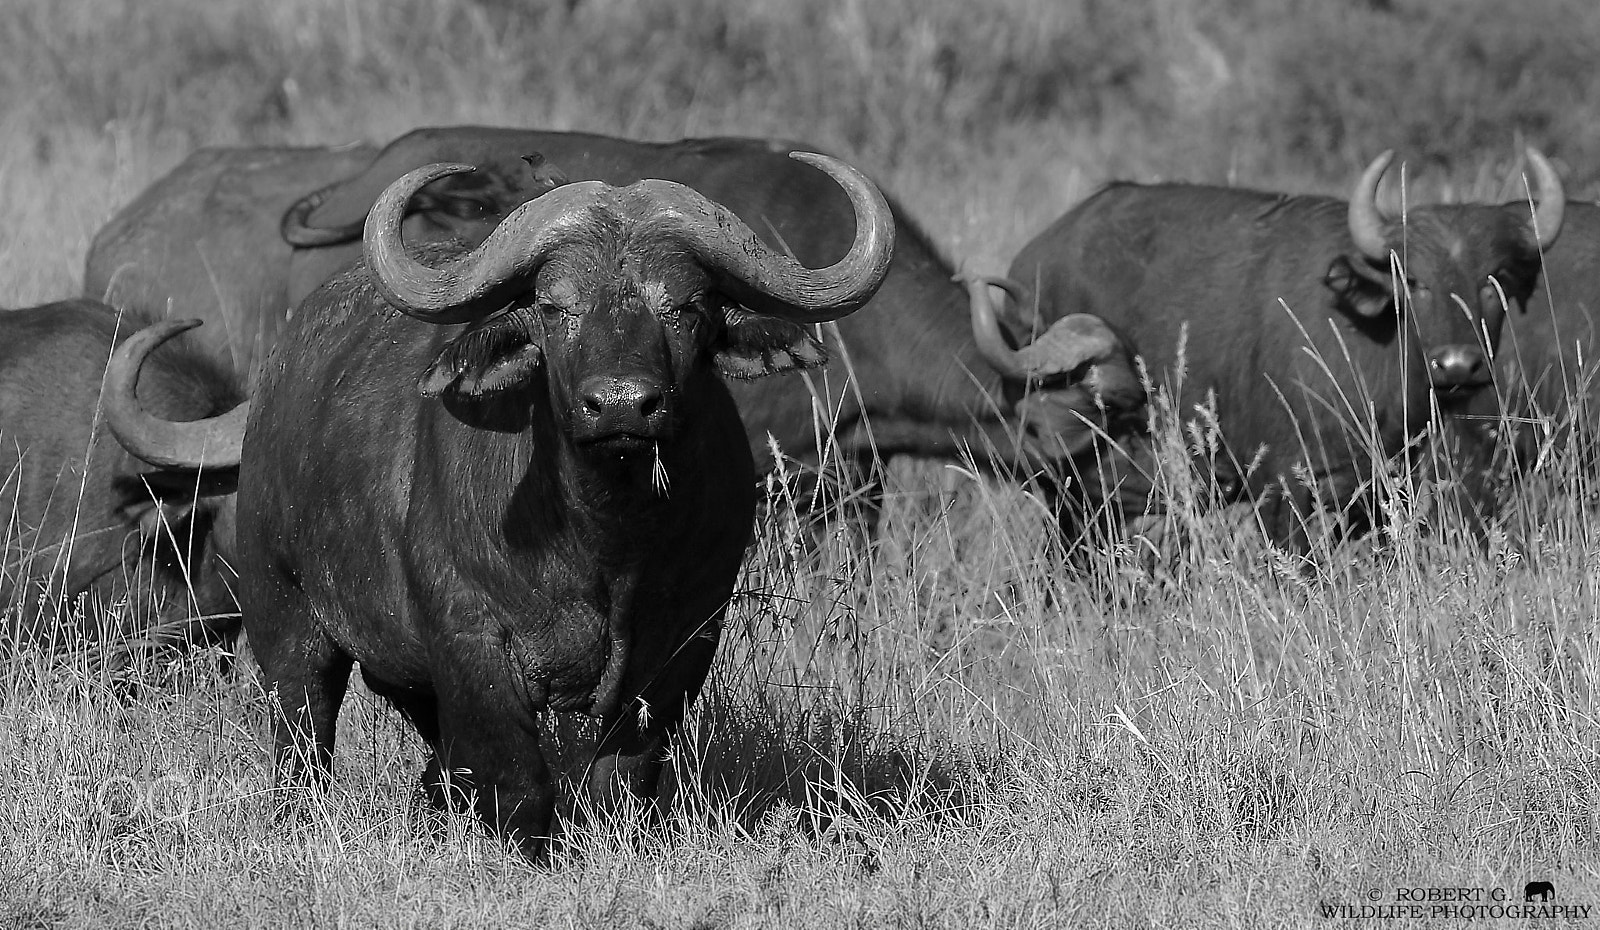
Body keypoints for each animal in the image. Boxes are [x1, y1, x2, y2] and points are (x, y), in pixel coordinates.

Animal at [114, 154, 895, 851]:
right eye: (554, 307)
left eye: (685, 307)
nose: (621, 404)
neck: (605, 541)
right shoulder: (471, 641)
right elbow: (518, 779)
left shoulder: (683, 642)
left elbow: (626, 771)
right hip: (285, 615)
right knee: (305, 727)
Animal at [972, 149, 1565, 553]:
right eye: (1411, 280)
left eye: (1493, 280)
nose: (1457, 365)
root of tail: (1032, 260)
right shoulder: (1281, 488)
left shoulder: (1381, 488)